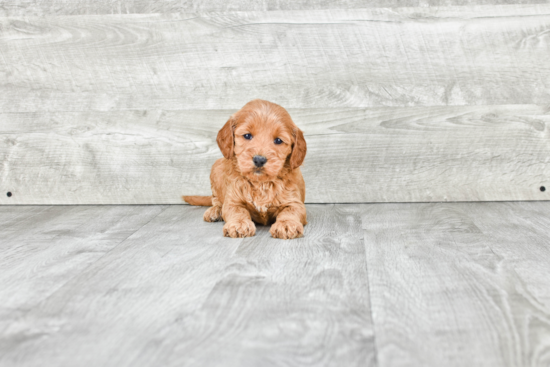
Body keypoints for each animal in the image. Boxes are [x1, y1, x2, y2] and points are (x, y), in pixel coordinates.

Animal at [183, 99, 308, 240]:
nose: (259, 159)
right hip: (216, 167)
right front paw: (239, 224)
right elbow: (237, 210)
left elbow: (290, 211)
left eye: (278, 140)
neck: (261, 183)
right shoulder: (233, 201)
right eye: (247, 136)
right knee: (216, 200)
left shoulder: (294, 202)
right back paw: (215, 211)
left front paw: (286, 224)